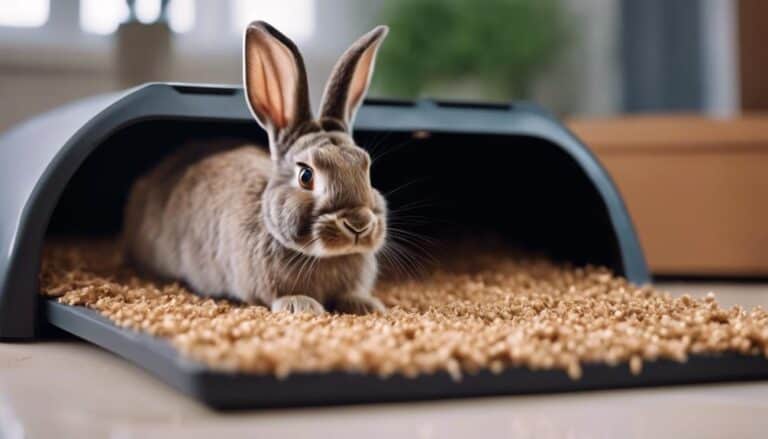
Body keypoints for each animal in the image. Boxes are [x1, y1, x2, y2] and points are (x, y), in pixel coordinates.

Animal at [123, 21, 390, 315]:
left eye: (366, 170)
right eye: (306, 175)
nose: (358, 224)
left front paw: (368, 305)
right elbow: (280, 297)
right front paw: (302, 306)